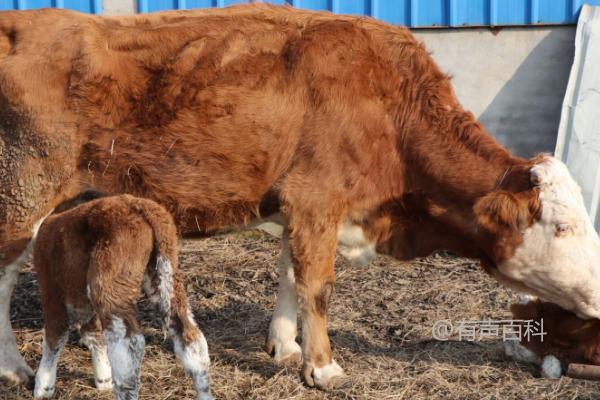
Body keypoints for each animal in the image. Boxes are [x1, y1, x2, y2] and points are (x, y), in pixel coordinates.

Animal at [31, 192, 213, 398]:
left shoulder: (50, 288)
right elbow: (94, 333)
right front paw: (103, 379)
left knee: (128, 349)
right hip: (165, 271)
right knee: (190, 337)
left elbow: (56, 335)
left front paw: (43, 387)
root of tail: (139, 206)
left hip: (110, 282)